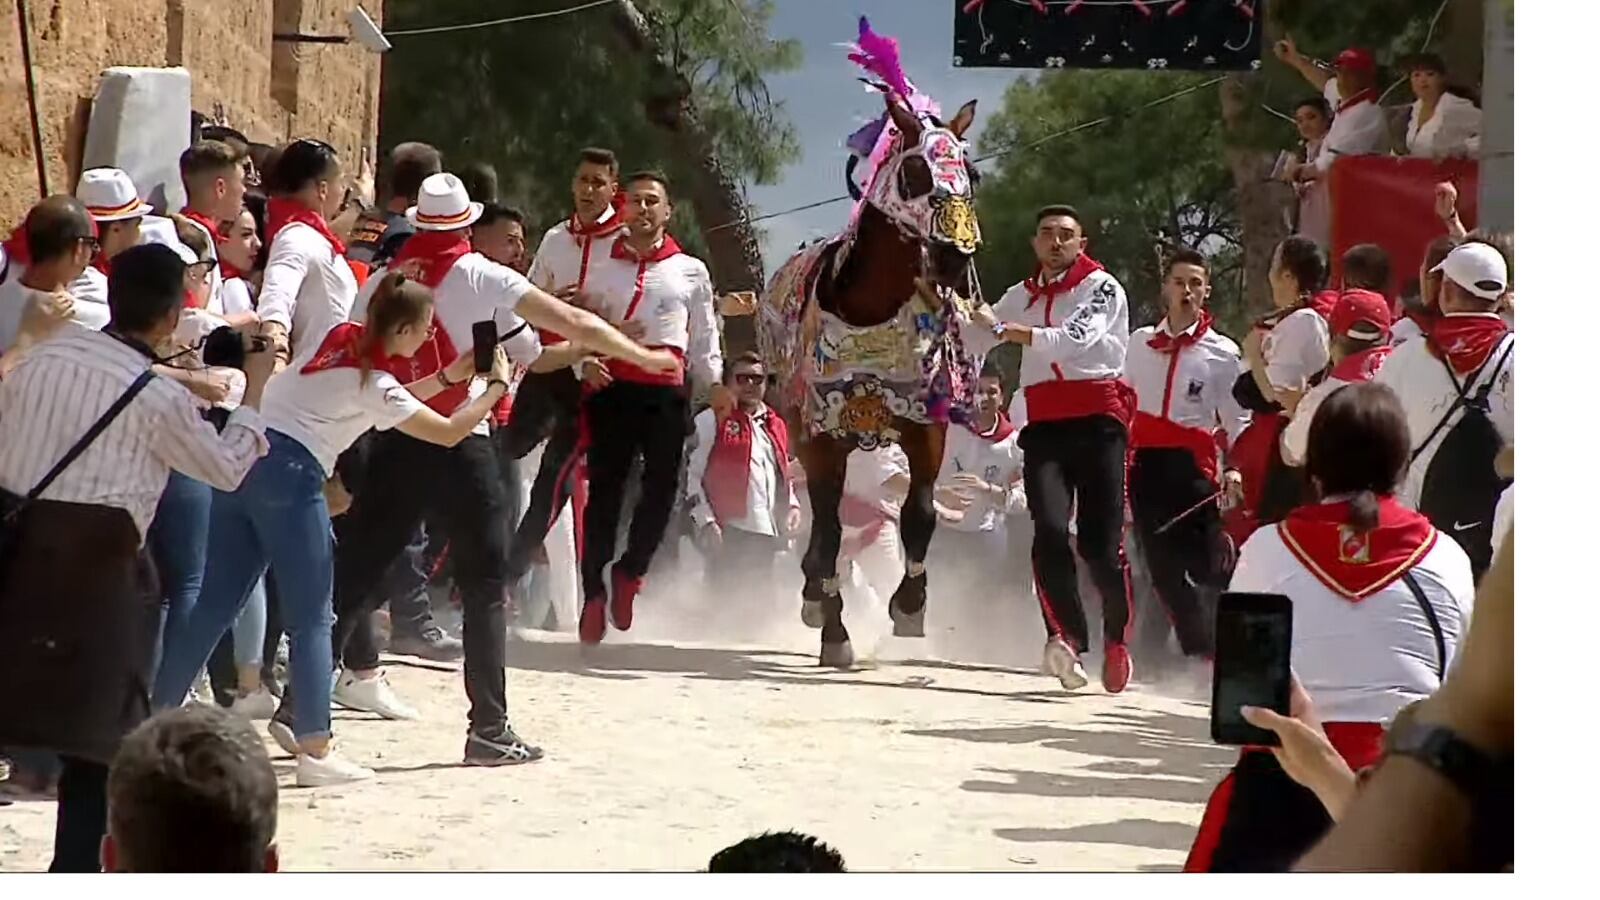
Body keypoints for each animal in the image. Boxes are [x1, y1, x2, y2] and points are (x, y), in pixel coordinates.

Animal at [755, 96, 979, 666]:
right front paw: (835, 631)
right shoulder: (821, 437)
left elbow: (920, 513)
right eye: (915, 171)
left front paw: (909, 605)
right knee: (822, 531)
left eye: (972, 173)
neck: (868, 310)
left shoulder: (925, 426)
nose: (955, 256)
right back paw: (817, 598)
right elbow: (830, 532)